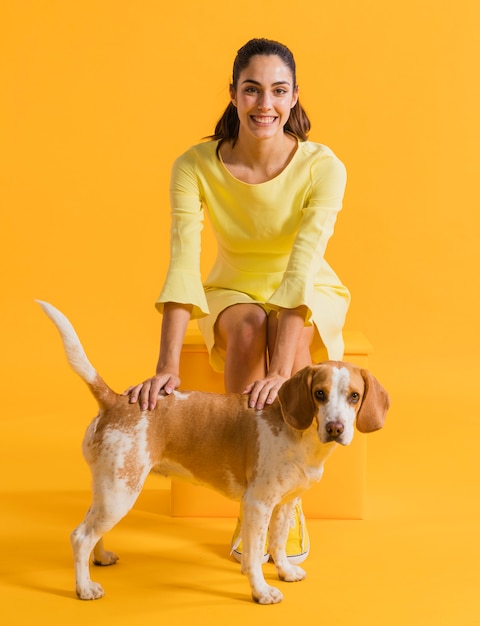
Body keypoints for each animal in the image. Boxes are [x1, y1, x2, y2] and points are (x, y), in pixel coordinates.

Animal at [37, 300, 390, 604]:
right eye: (319, 394)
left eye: (354, 396)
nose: (335, 428)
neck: (301, 435)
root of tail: (115, 400)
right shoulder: (258, 504)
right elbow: (255, 554)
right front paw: (261, 591)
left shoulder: (284, 504)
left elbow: (276, 544)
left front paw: (285, 571)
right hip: (119, 493)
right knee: (80, 536)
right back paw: (84, 588)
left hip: (108, 490)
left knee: (91, 528)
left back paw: (100, 559)